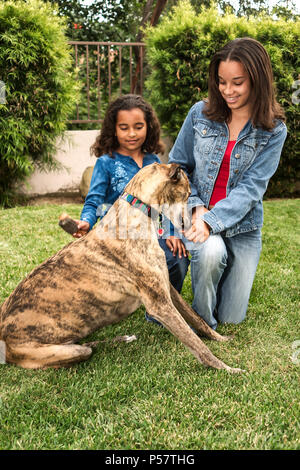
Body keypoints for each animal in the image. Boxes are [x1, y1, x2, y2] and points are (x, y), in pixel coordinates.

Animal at [0, 163, 243, 372]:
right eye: (187, 193)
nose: (196, 227)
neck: (135, 213)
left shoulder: (166, 289)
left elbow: (197, 320)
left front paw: (221, 339)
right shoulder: (159, 305)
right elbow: (196, 344)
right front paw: (227, 369)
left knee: (87, 344)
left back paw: (124, 338)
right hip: (57, 351)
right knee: (83, 349)